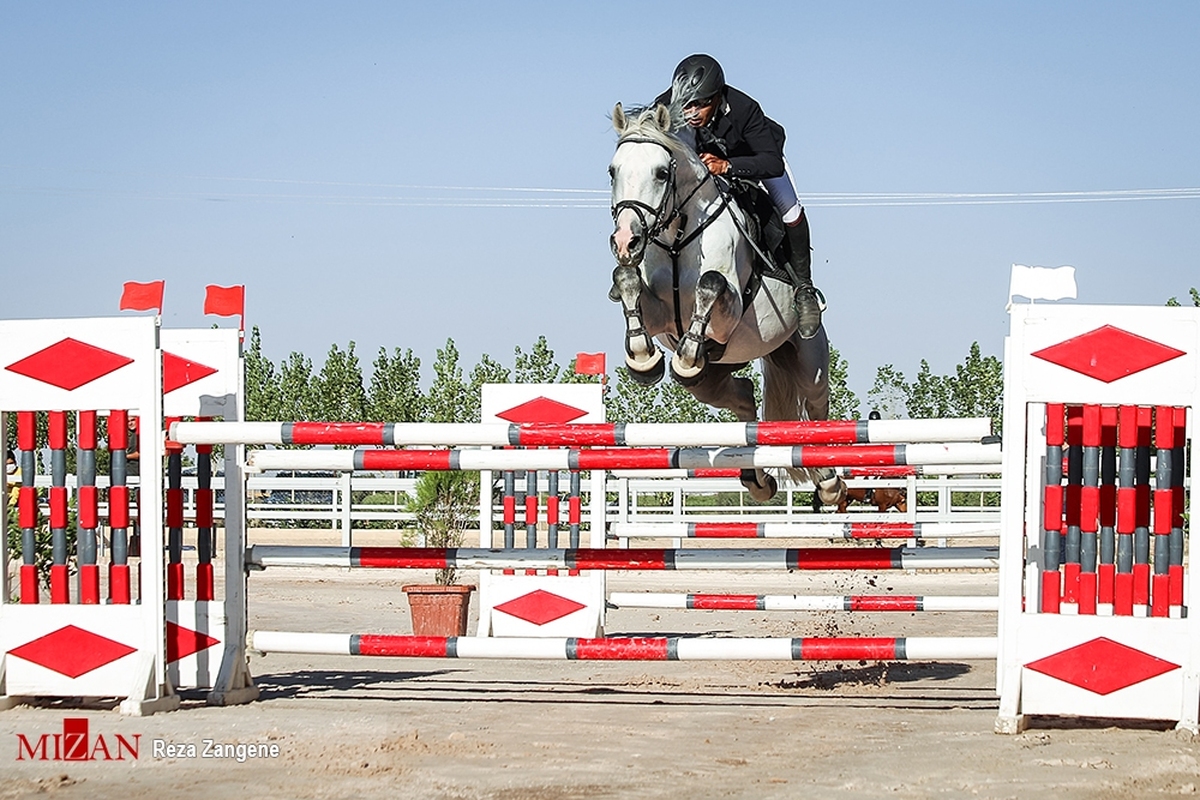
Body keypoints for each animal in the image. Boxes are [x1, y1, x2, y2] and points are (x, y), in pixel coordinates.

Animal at [609, 103, 844, 506]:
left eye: (661, 173)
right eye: (613, 171)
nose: (626, 241)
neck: (679, 234)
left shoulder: (728, 313)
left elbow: (711, 282)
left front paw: (683, 358)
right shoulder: (662, 317)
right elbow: (627, 281)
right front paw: (643, 360)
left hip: (809, 360)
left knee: (816, 411)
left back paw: (829, 482)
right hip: (713, 378)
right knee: (744, 398)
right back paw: (756, 478)